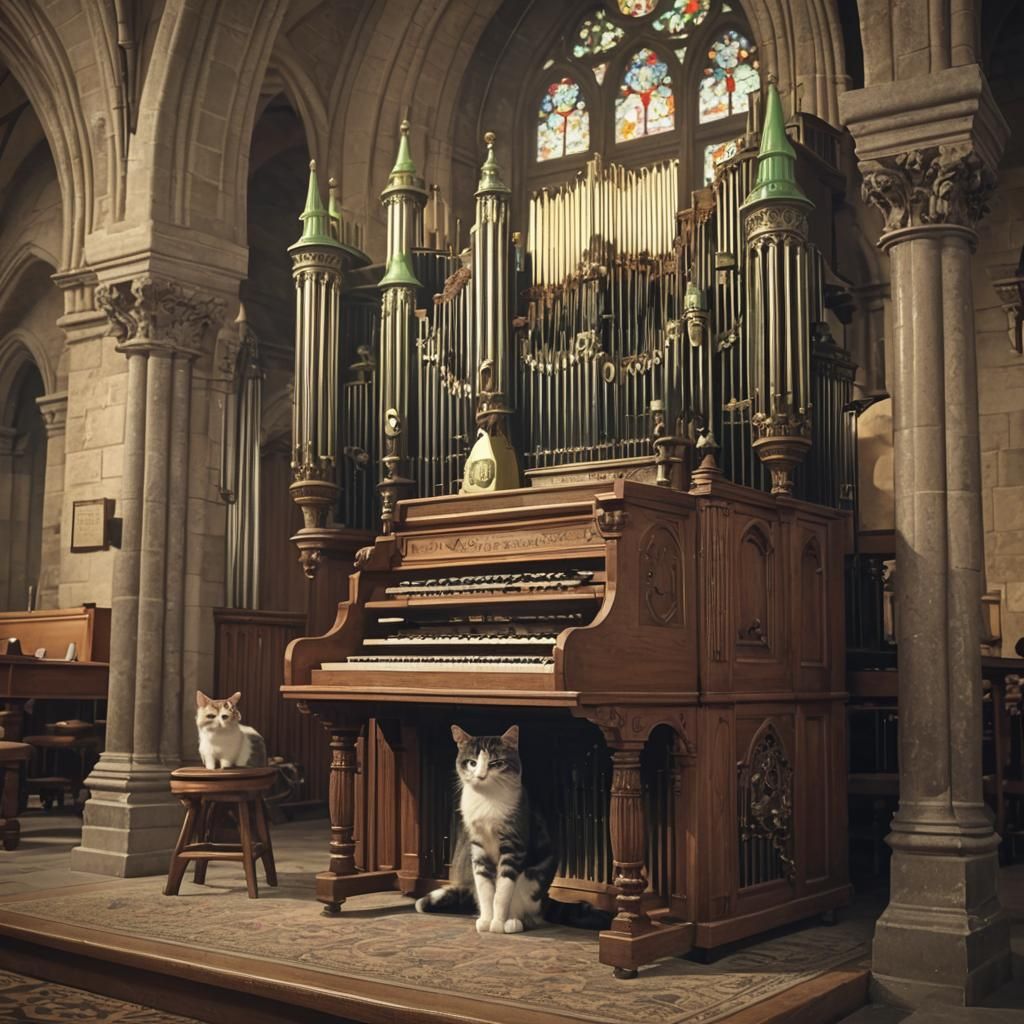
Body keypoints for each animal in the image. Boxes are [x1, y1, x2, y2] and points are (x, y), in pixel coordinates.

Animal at [415, 724, 561, 933]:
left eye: (496, 762)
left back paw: (514, 922)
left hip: (533, 879)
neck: (487, 798)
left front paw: (497, 923)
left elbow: (502, 891)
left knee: (525, 905)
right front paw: (486, 920)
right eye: (472, 763)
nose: (481, 775)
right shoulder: (478, 845)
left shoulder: (513, 844)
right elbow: (485, 888)